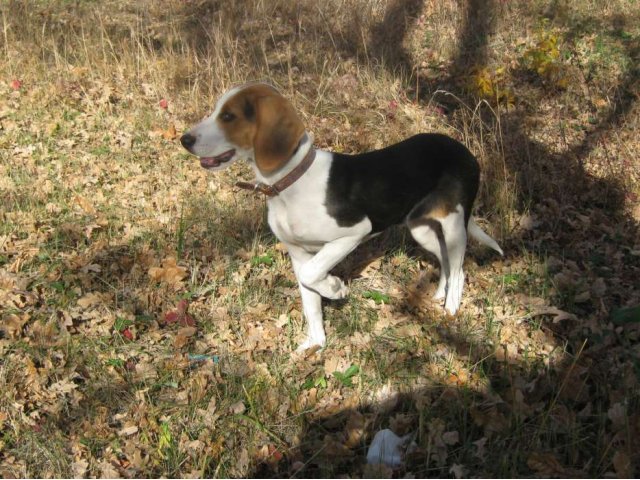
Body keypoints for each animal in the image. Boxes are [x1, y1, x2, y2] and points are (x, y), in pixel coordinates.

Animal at [178, 82, 502, 352]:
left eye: (229, 116)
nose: (184, 139)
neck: (289, 183)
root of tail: (463, 149)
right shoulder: (298, 254)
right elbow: (309, 297)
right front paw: (315, 345)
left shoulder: (353, 232)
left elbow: (313, 275)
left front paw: (335, 288)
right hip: (422, 229)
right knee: (446, 261)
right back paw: (438, 296)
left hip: (454, 225)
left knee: (459, 269)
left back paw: (450, 309)